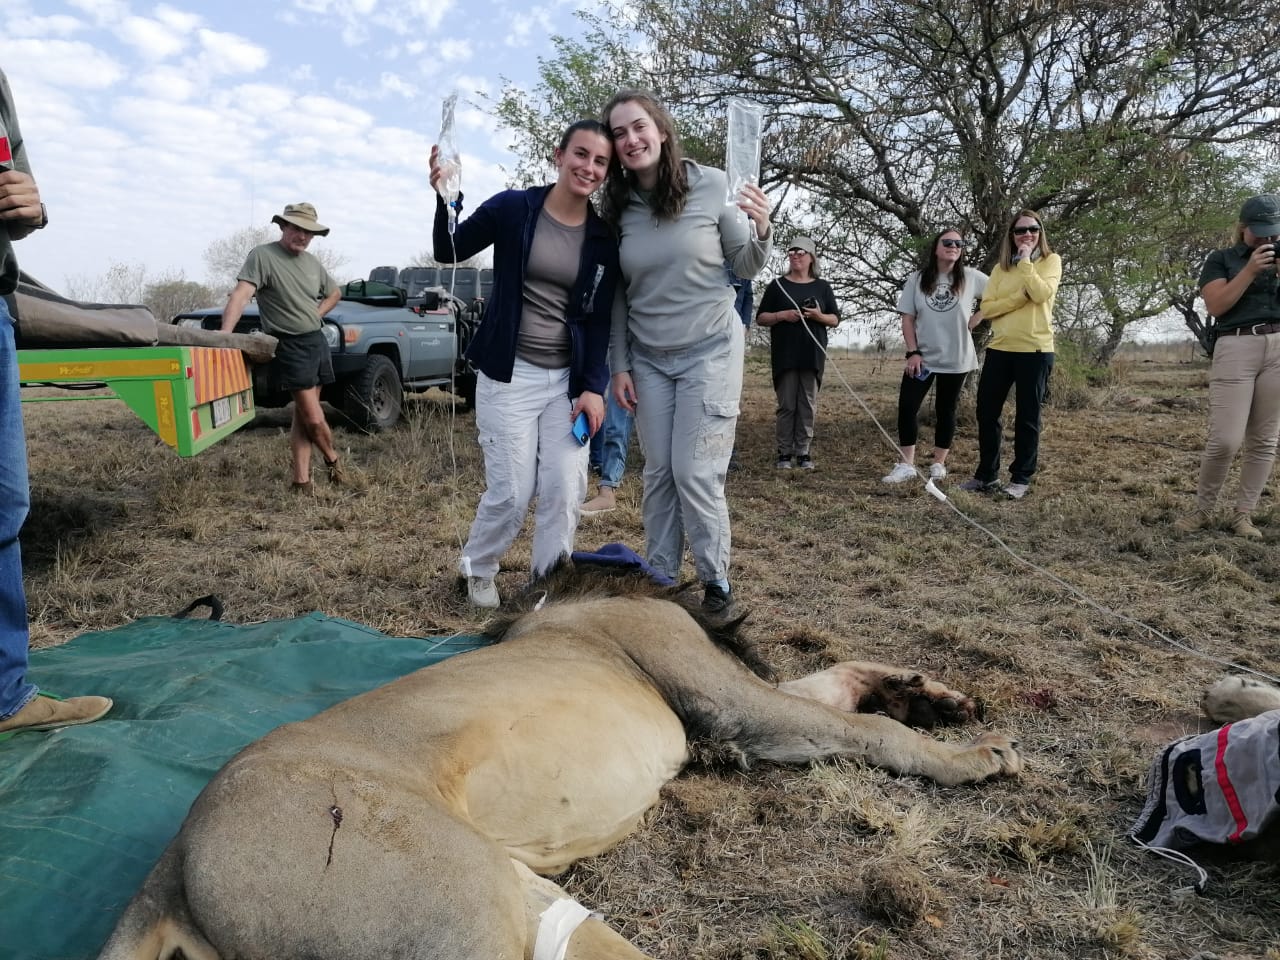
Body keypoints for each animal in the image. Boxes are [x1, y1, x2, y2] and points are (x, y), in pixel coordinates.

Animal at [96, 569, 1021, 960]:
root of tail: (175, 861)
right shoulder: (721, 697)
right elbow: (863, 731)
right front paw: (974, 754)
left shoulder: (728, 704)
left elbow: (839, 685)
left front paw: (931, 694)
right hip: (454, 920)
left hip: (521, 897)